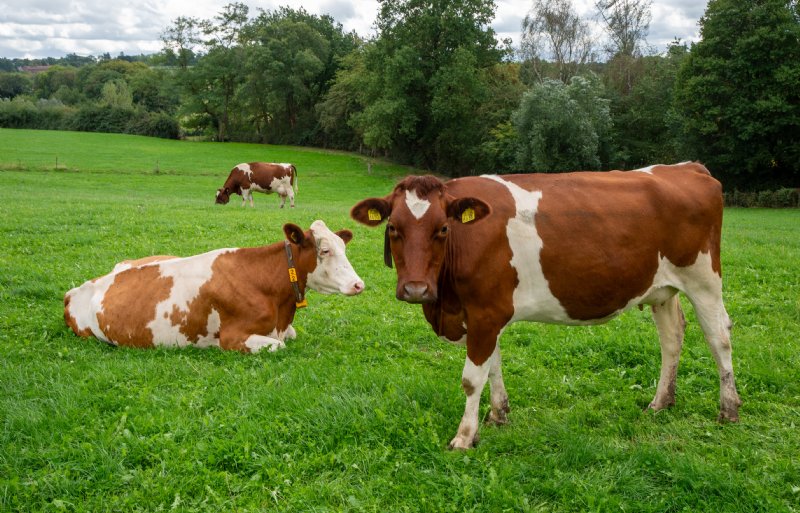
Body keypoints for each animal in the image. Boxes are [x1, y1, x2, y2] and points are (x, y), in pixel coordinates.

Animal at [64, 220, 363, 353]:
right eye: (324, 250)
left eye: (343, 246)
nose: (358, 284)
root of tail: (74, 291)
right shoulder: (233, 338)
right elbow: (279, 346)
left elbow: (291, 335)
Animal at [351, 162, 741, 449]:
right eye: (393, 228)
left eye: (442, 229)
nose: (415, 289)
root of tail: (684, 167)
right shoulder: (484, 315)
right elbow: (493, 367)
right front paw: (498, 415)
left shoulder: (485, 314)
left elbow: (472, 378)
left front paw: (464, 437)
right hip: (663, 289)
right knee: (672, 338)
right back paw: (660, 403)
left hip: (704, 279)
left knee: (719, 337)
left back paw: (729, 409)